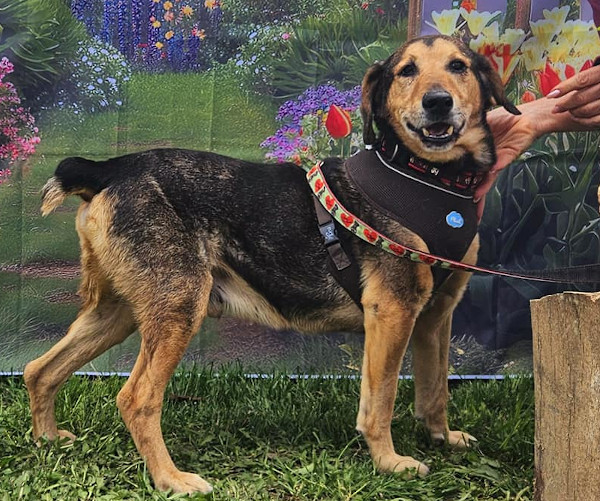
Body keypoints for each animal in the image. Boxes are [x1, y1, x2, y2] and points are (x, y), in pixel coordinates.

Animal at [25, 35, 519, 494]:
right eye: (406, 71)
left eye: (458, 67)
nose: (437, 102)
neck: (429, 177)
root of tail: (109, 168)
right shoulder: (392, 312)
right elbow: (380, 400)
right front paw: (389, 463)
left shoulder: (436, 315)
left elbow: (436, 390)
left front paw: (442, 438)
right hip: (180, 305)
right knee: (136, 398)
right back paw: (171, 480)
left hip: (123, 309)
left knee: (39, 370)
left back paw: (48, 440)